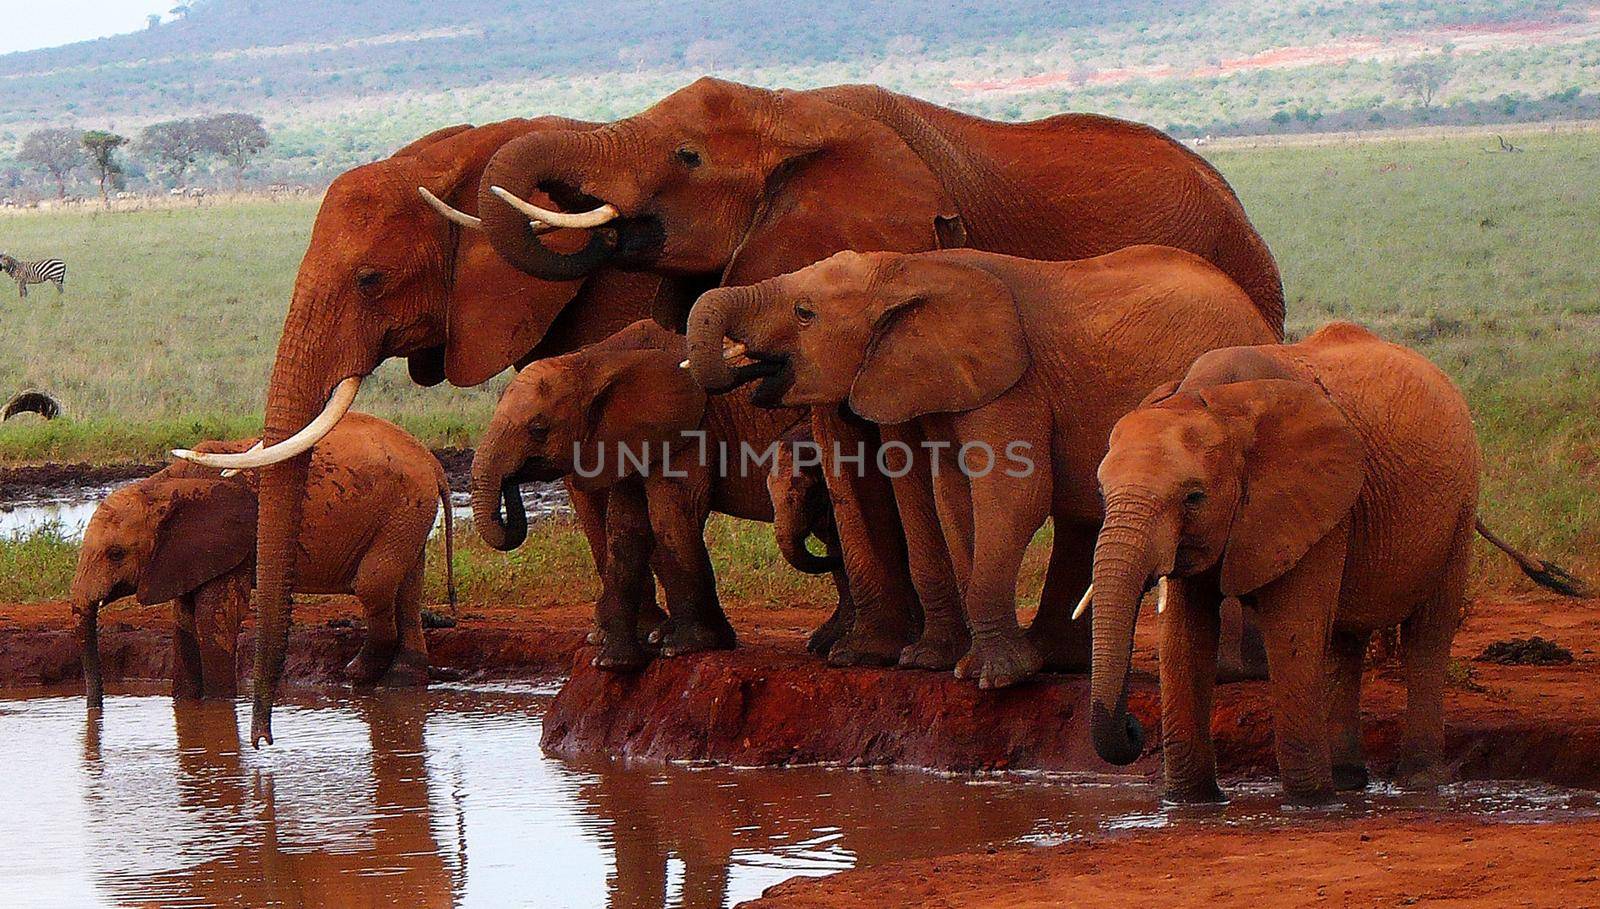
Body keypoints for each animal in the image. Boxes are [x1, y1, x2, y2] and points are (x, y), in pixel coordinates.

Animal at [72, 412, 454, 710]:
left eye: (116, 554)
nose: (95, 708)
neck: (161, 486)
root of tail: (432, 462)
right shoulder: (180, 554)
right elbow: (183, 619)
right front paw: (187, 703)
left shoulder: (226, 542)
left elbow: (213, 619)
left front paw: (217, 707)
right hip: (407, 515)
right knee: (407, 591)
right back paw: (399, 683)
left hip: (402, 510)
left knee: (373, 583)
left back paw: (356, 674)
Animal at [467, 318, 844, 668]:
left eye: (538, 429)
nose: (513, 478)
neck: (594, 360)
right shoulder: (623, 439)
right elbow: (625, 528)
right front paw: (613, 662)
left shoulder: (692, 430)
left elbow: (670, 514)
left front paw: (687, 647)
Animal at [681, 244, 1280, 684]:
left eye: (805, 313)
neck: (907, 268)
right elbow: (952, 499)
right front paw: (943, 666)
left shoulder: (1013, 384)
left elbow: (1013, 496)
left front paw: (995, 678)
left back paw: (1228, 673)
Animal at [1088, 323, 1587, 806]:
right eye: (1102, 491)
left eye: (1193, 497)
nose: (1133, 728)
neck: (1221, 401)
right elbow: (1185, 634)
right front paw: (1190, 805)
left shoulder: (1315, 500)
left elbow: (1293, 626)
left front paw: (1309, 805)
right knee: (1344, 641)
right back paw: (1349, 781)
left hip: (1460, 505)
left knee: (1428, 633)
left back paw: (1417, 784)